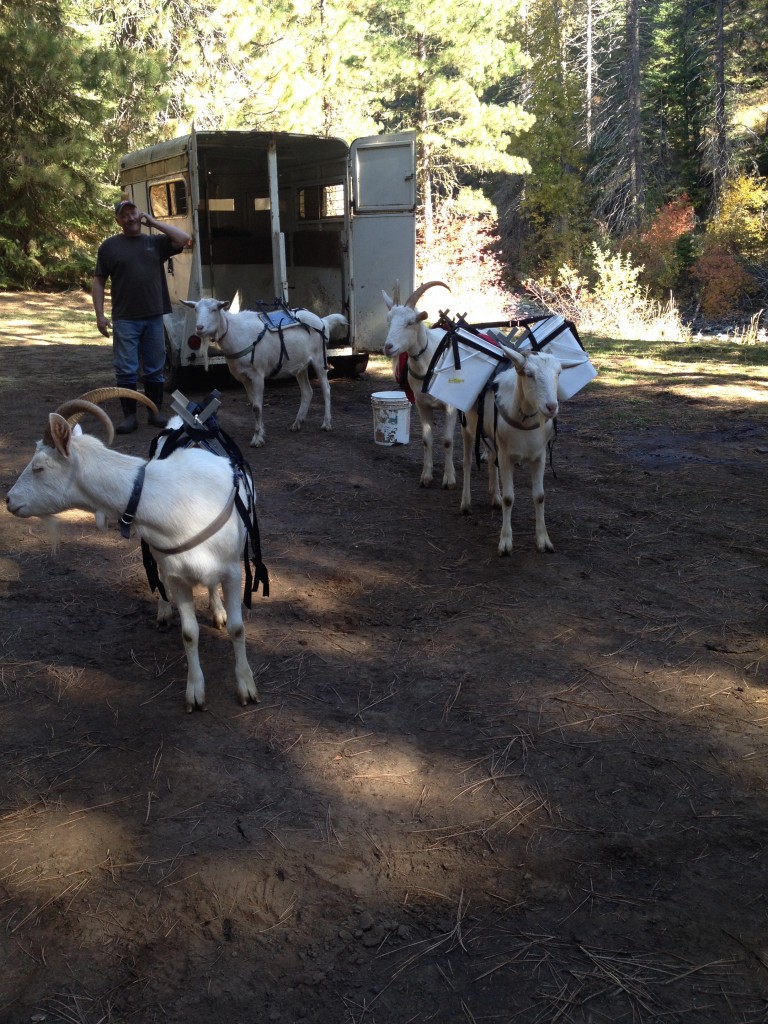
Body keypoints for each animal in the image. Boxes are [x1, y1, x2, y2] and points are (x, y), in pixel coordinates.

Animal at [6, 387, 266, 716]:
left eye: (38, 467)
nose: (8, 500)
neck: (177, 500)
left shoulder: (233, 570)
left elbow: (237, 628)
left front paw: (247, 687)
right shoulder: (178, 575)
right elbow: (189, 632)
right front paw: (195, 693)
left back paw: (217, 610)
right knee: (162, 581)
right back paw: (164, 611)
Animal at [179, 299, 348, 452]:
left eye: (214, 309)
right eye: (195, 309)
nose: (199, 328)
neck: (236, 333)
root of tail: (322, 320)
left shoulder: (257, 375)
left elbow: (256, 407)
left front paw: (257, 438)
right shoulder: (244, 378)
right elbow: (254, 404)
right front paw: (260, 431)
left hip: (319, 359)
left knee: (326, 389)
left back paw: (326, 424)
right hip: (300, 365)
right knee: (307, 391)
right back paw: (297, 423)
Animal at [382, 280, 460, 487]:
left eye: (410, 322)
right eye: (388, 321)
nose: (388, 347)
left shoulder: (451, 406)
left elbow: (448, 440)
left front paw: (449, 479)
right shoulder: (422, 404)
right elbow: (426, 439)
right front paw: (426, 476)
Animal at [460, 346, 581, 557]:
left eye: (559, 373)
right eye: (529, 374)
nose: (551, 407)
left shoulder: (539, 456)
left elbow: (539, 496)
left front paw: (543, 540)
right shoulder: (506, 457)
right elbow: (509, 499)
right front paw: (505, 543)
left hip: (491, 436)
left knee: (491, 459)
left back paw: (495, 496)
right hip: (466, 426)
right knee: (467, 462)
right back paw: (466, 503)